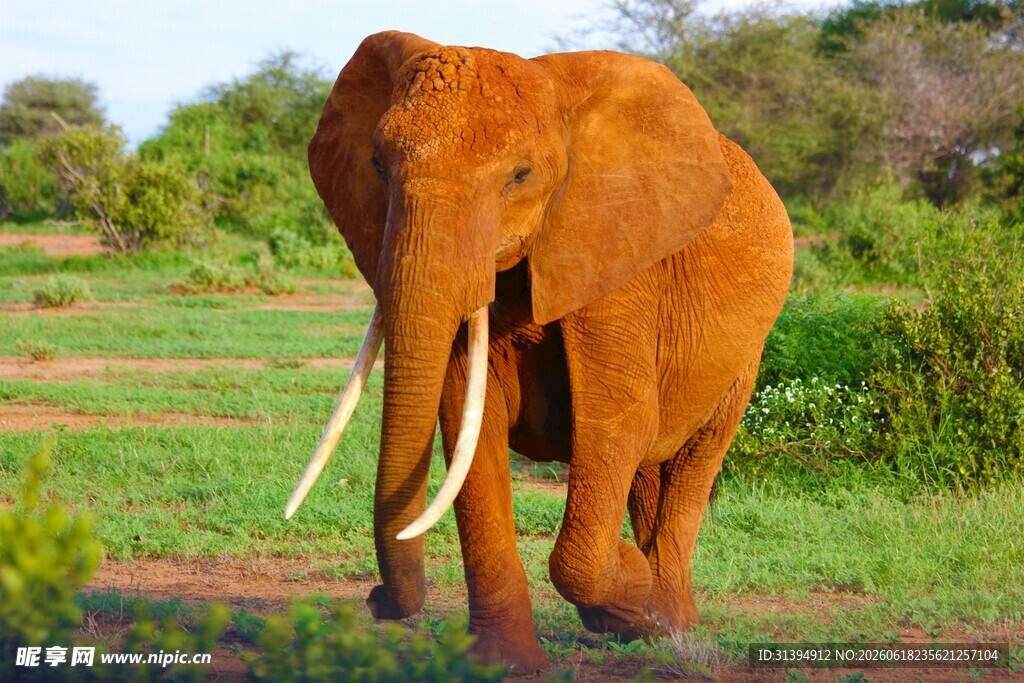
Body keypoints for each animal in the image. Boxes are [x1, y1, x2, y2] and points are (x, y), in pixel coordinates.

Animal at [285, 31, 793, 672]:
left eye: (520, 176)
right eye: (377, 165)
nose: (374, 599)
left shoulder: (615, 255)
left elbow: (617, 420)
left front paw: (628, 588)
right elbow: (468, 423)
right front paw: (504, 664)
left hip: (747, 353)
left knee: (693, 459)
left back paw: (670, 626)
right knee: (649, 470)